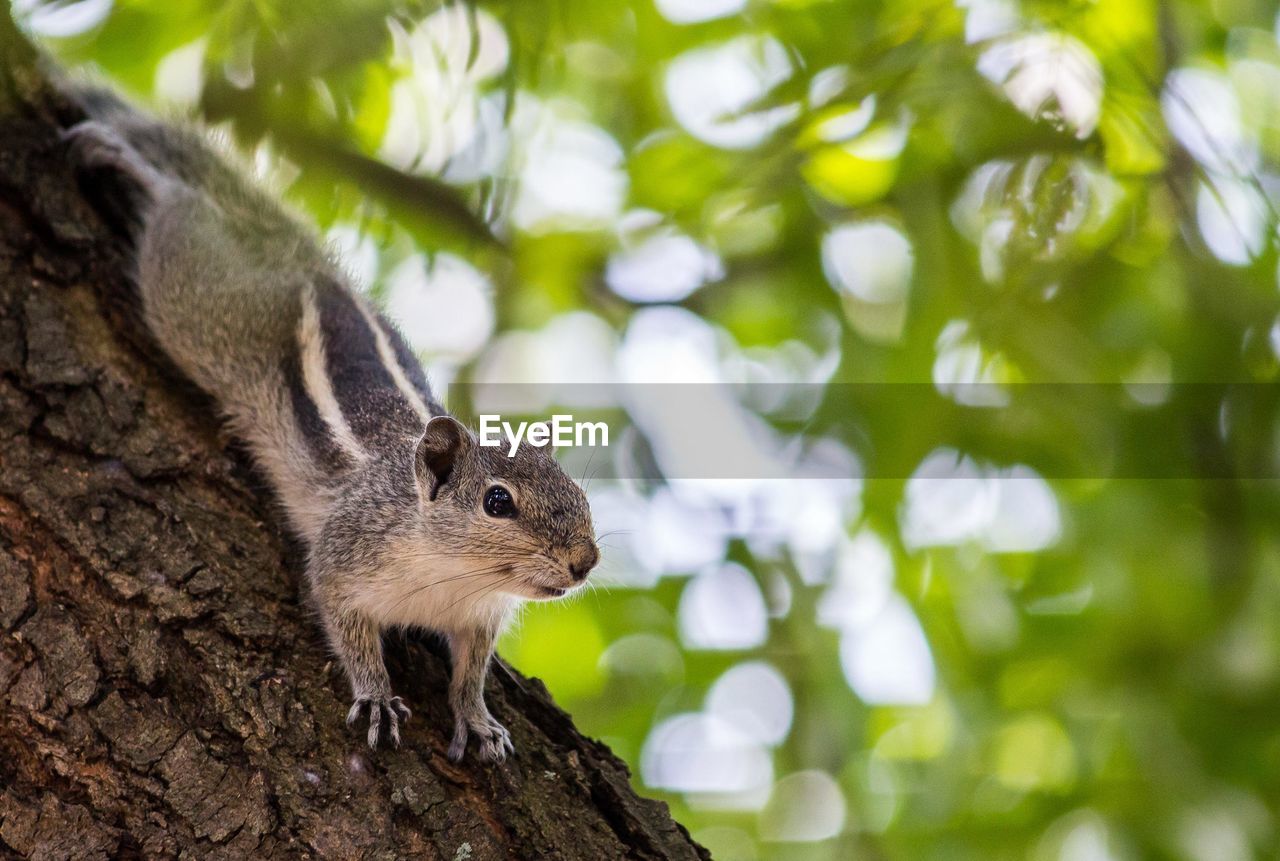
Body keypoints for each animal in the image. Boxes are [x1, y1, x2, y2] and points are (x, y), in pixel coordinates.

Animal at [60, 97, 599, 762]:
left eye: (581, 496)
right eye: (497, 502)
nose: (585, 562)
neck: (453, 572)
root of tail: (304, 268)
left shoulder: (478, 620)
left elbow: (470, 673)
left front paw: (477, 719)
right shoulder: (346, 557)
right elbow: (345, 626)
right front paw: (376, 695)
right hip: (198, 300)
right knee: (182, 213)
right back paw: (125, 158)